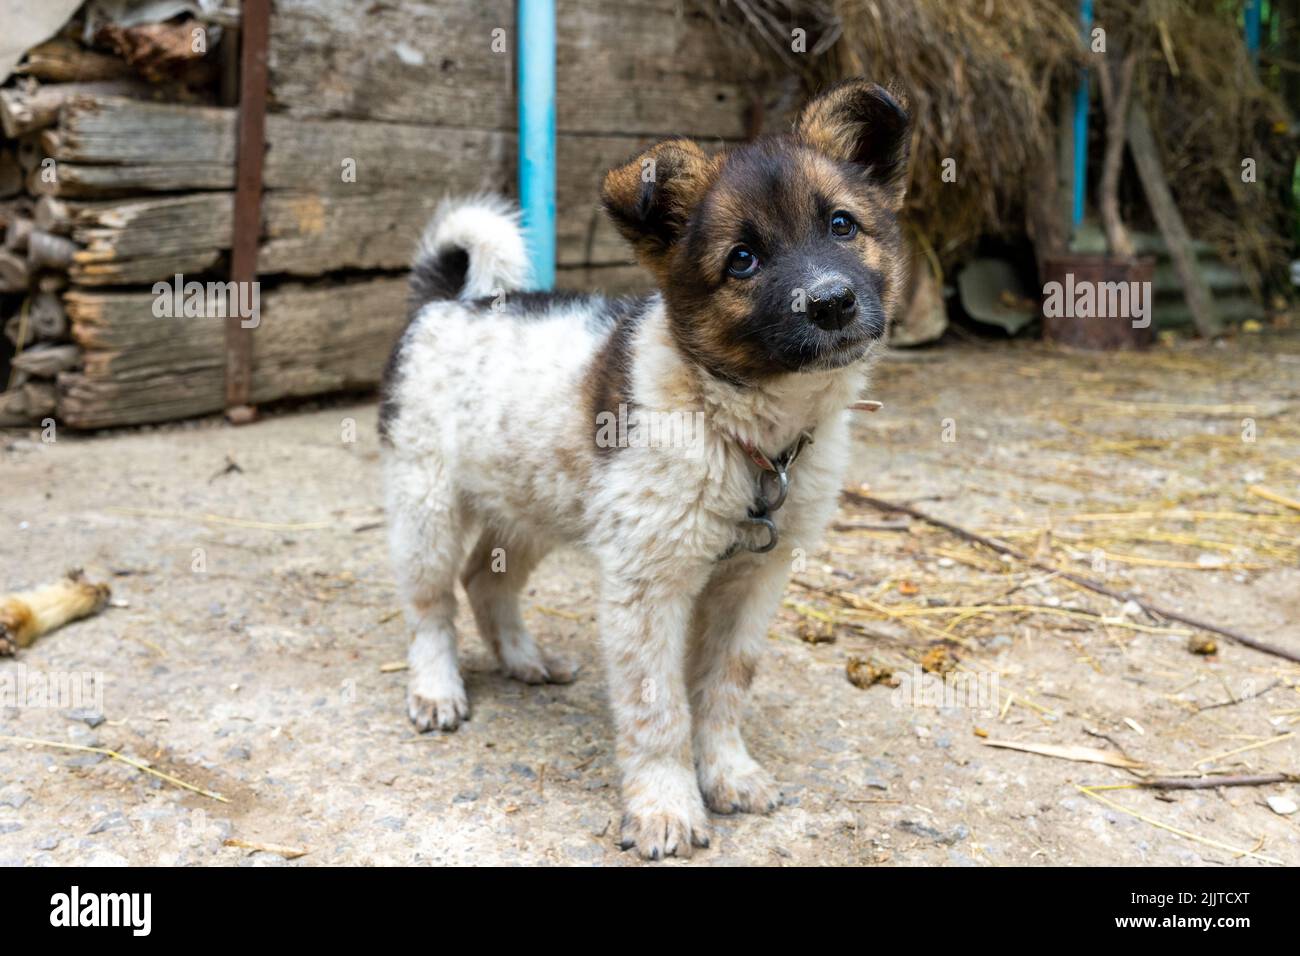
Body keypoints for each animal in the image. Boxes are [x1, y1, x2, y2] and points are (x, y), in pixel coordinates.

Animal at [382, 80, 915, 858]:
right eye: (743, 259)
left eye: (843, 225)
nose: (831, 302)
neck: (742, 429)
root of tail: (445, 302)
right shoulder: (646, 585)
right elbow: (658, 709)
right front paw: (665, 807)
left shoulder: (754, 579)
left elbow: (724, 686)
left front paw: (728, 774)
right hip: (427, 504)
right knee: (430, 605)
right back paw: (435, 690)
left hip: (531, 505)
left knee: (485, 580)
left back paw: (525, 659)